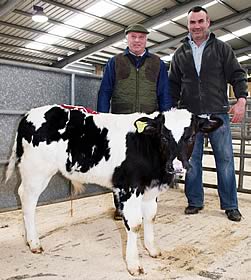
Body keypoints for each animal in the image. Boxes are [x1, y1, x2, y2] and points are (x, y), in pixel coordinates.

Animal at [5, 105, 222, 276]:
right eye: (163, 136)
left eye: (191, 136)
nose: (176, 166)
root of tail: (29, 114)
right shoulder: (129, 188)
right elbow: (135, 224)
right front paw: (134, 264)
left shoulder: (150, 190)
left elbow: (150, 217)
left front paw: (152, 249)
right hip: (36, 171)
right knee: (27, 200)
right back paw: (34, 242)